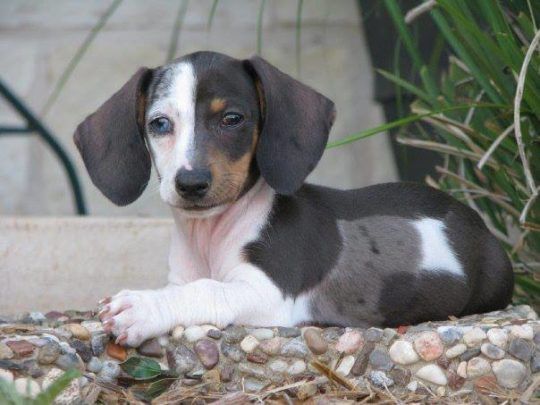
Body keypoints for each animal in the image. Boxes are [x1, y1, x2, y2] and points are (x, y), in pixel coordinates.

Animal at [74, 52, 512, 346]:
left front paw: (143, 308)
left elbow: (208, 290)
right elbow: (188, 286)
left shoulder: (269, 295)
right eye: (160, 124)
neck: (212, 235)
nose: (191, 183)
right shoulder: (183, 277)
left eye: (232, 118)